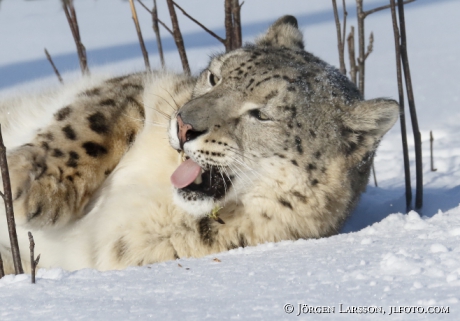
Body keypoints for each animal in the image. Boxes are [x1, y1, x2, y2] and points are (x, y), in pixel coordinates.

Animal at [0, 15, 398, 272]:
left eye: (262, 114)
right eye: (214, 77)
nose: (183, 124)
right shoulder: (143, 87)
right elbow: (88, 123)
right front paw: (27, 186)